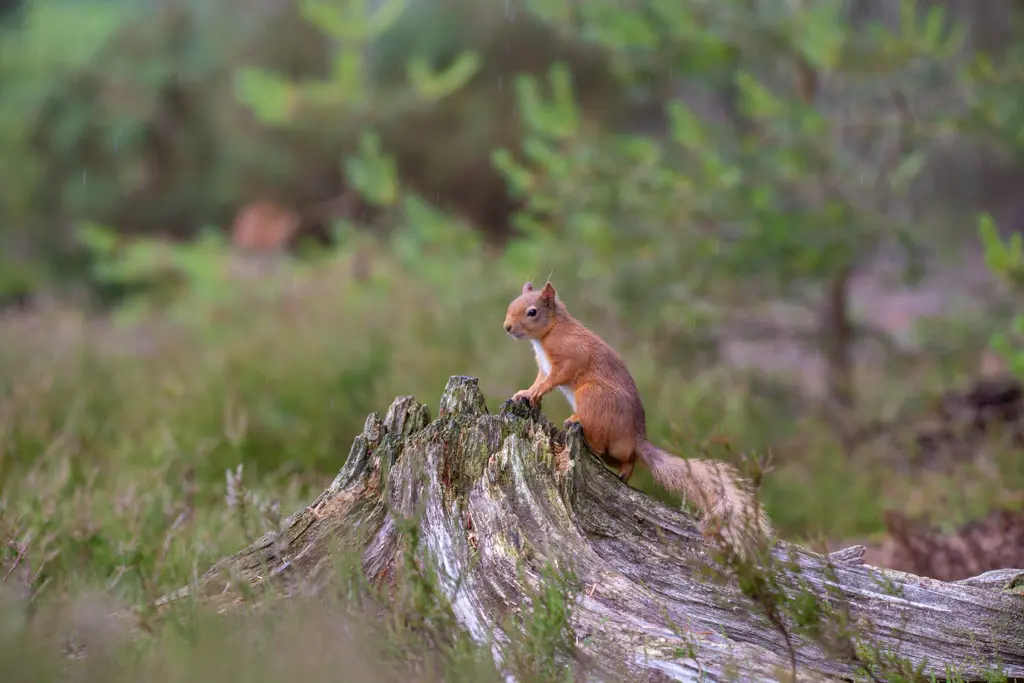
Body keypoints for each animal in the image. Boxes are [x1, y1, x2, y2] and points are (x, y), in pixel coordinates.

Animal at [504, 281, 773, 557]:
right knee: (627, 457)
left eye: (532, 312)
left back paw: (580, 426)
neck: (550, 332)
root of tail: (635, 436)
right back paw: (623, 470)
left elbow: (555, 378)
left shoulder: (571, 356)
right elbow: (539, 381)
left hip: (591, 395)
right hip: (615, 448)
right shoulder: (543, 367)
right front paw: (526, 393)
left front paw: (537, 392)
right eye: (511, 305)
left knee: (603, 444)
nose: (507, 327)